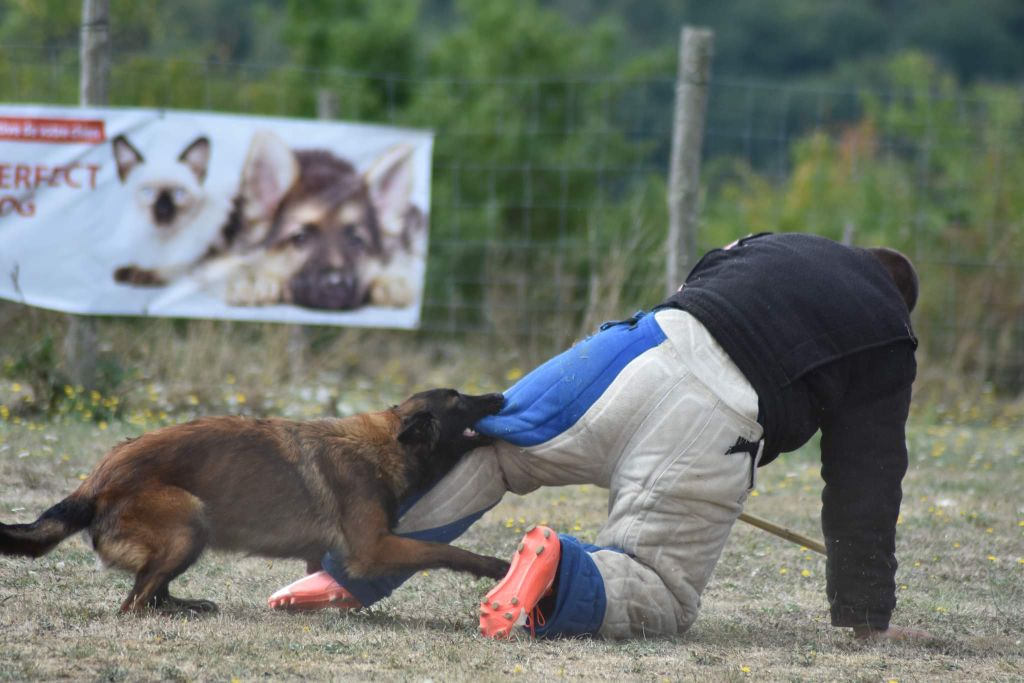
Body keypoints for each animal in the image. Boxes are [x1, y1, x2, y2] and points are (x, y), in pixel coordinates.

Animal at [0, 389, 507, 614]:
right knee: (134, 602)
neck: (388, 445)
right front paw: (495, 567)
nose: (500, 396)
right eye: (460, 401)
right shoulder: (374, 549)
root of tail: (94, 482)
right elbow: (444, 550)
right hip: (190, 519)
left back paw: (188, 605)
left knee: (150, 589)